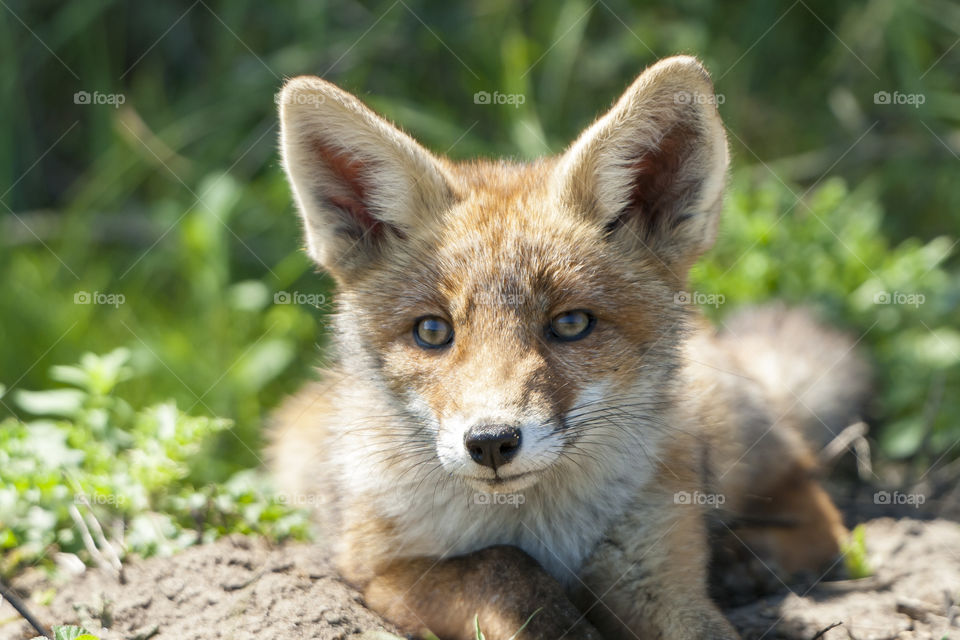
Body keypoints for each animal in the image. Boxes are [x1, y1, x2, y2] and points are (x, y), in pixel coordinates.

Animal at [269, 56, 868, 640]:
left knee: (819, 509)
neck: (532, 522)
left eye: (572, 323)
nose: (490, 442)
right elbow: (501, 569)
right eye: (432, 332)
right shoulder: (375, 570)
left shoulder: (653, 572)